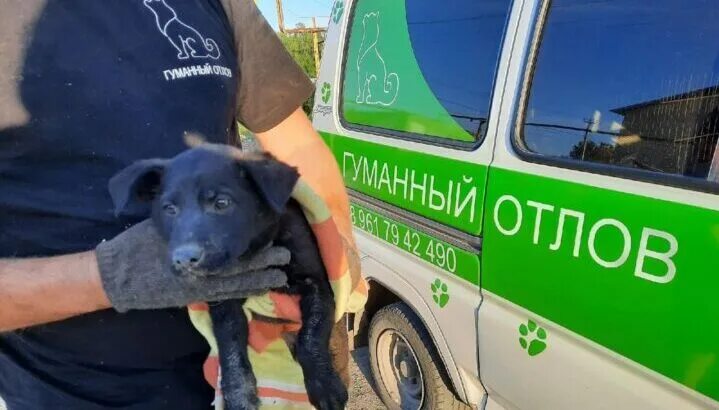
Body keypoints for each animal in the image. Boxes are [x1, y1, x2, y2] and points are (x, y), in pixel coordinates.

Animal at [109, 145, 348, 410]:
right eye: (169, 209)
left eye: (222, 203)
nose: (184, 259)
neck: (257, 248)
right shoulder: (226, 297)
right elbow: (230, 343)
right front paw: (239, 394)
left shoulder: (318, 283)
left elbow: (313, 332)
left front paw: (324, 384)